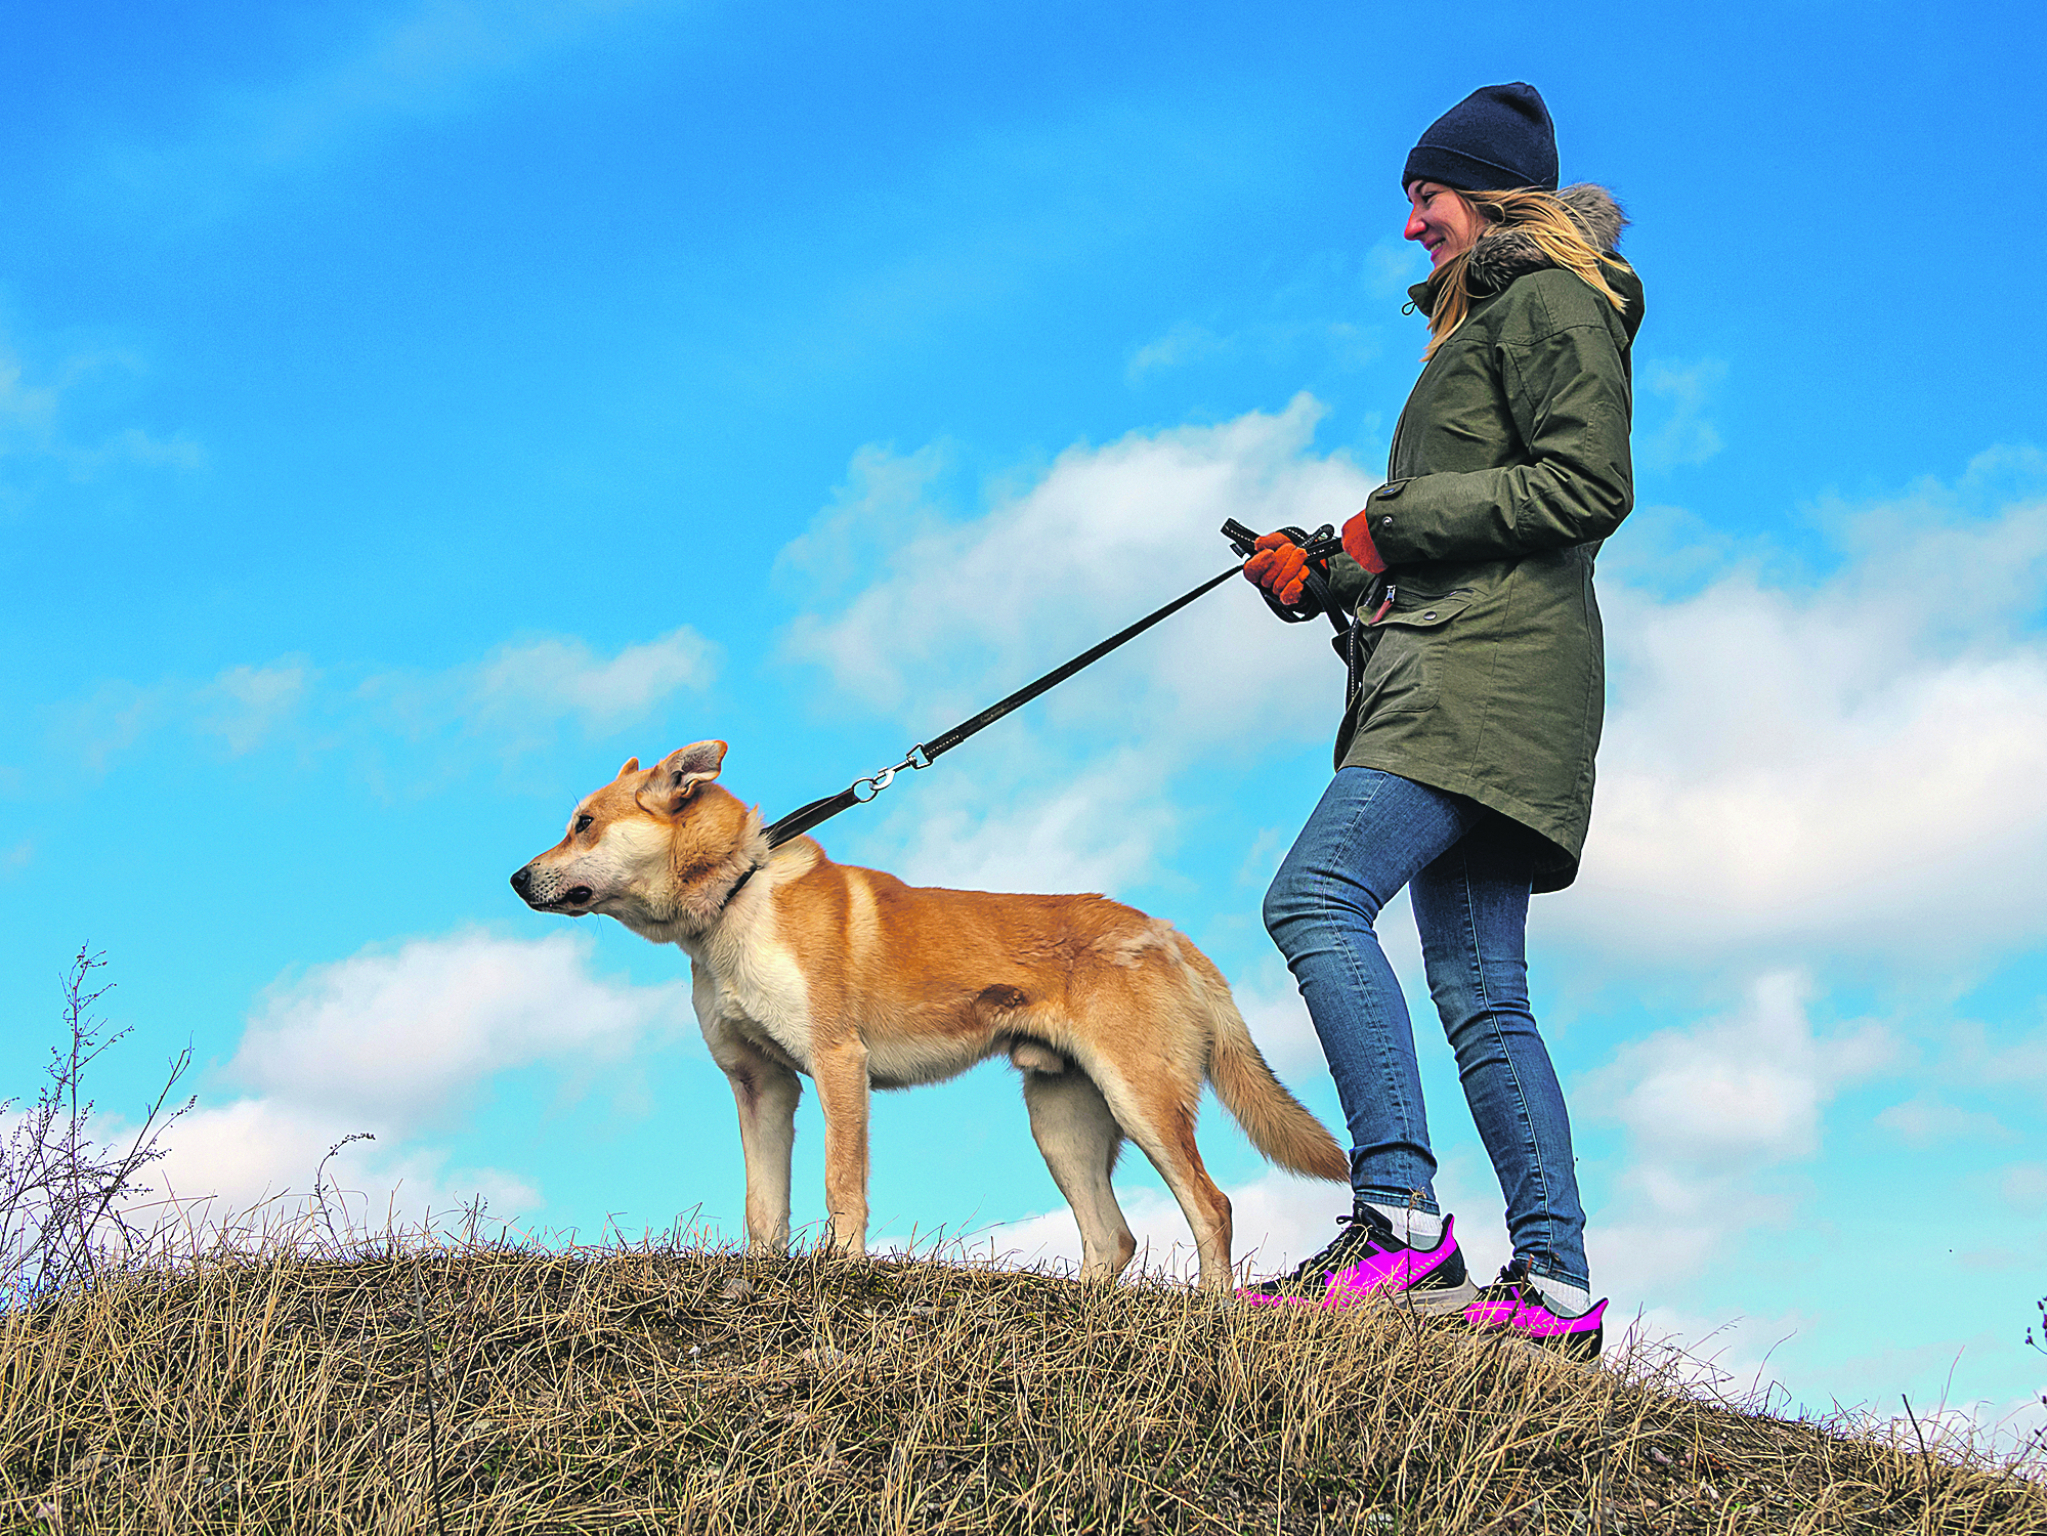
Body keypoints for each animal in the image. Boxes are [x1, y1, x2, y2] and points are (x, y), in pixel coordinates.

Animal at [509, 741, 1342, 1286]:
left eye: (584, 823)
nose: (516, 878)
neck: (738, 895)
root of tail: (1168, 934)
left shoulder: (836, 1064)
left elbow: (840, 1185)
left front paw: (840, 1272)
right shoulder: (760, 1086)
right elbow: (762, 1204)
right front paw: (766, 1275)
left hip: (1142, 1100)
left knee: (1212, 1206)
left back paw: (1210, 1317)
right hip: (1062, 1123)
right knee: (1113, 1239)